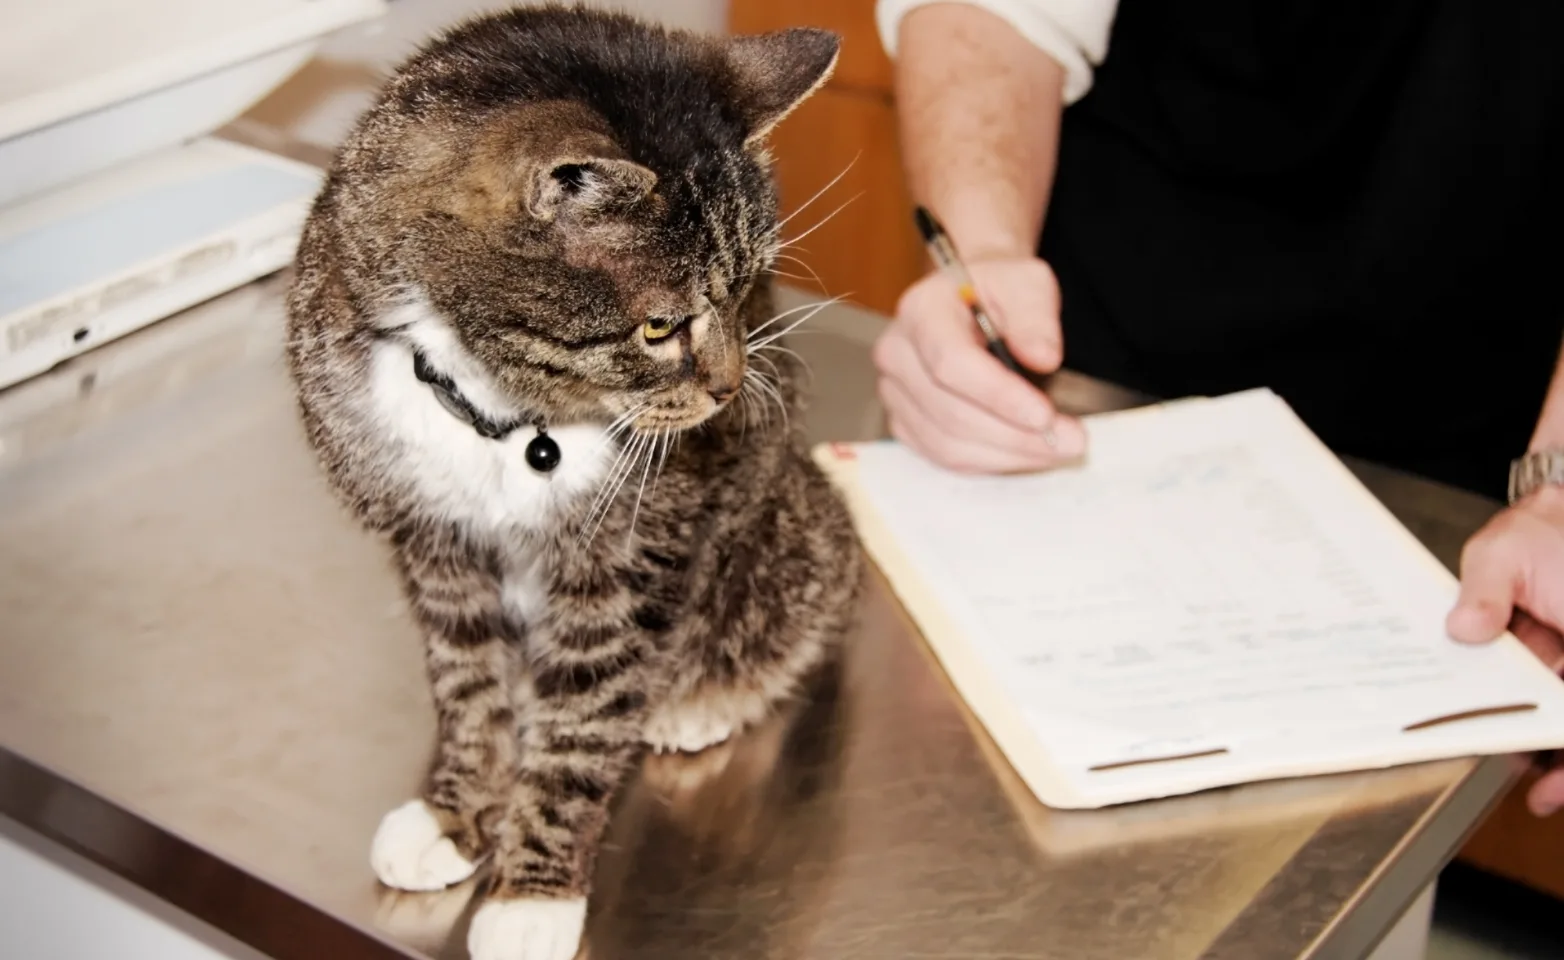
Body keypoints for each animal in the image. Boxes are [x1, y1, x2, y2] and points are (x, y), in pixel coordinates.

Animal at [287, 5, 863, 960]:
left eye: (746, 290)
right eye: (659, 326)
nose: (730, 388)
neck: (504, 414)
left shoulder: (627, 564)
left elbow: (586, 719)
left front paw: (533, 892)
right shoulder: (432, 542)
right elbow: (467, 683)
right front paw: (456, 813)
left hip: (792, 531)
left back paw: (702, 701)